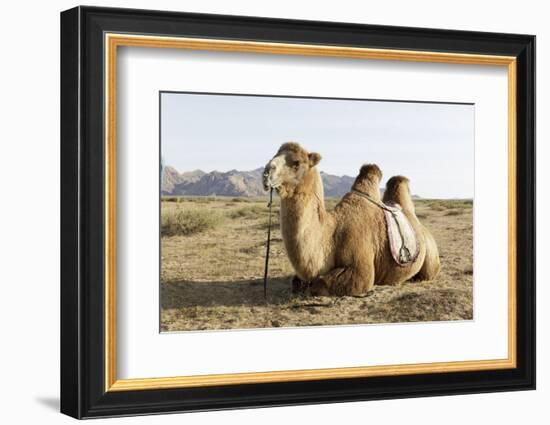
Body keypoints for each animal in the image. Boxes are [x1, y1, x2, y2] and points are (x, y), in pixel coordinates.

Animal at [264, 142, 444, 294]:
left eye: (296, 163)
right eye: (274, 154)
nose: (266, 172)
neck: (332, 234)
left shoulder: (361, 271)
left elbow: (321, 283)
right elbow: (296, 282)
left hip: (431, 259)